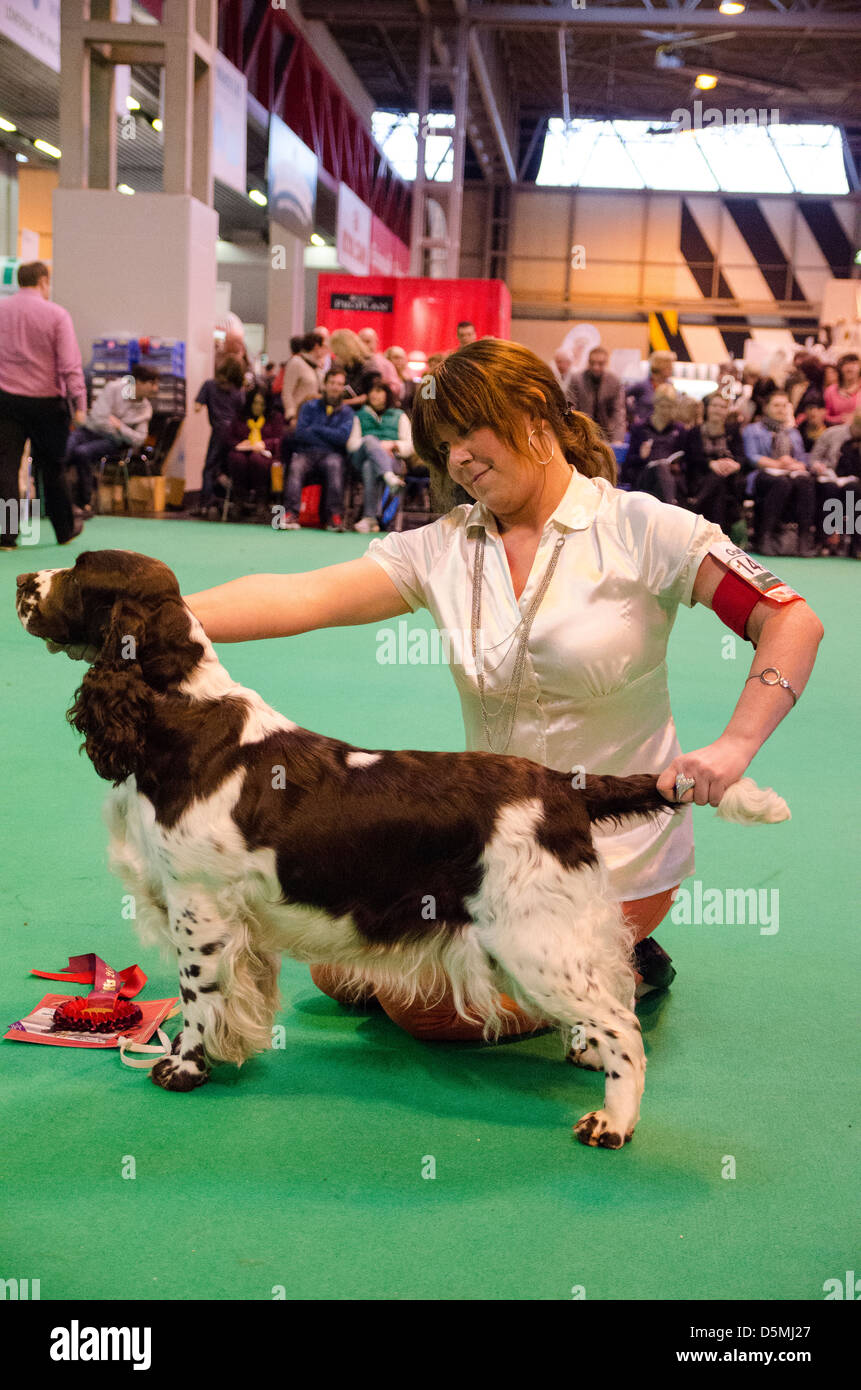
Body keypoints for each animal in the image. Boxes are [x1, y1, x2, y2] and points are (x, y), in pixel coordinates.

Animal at [13, 547, 790, 1145]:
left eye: (79, 570)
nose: (21, 580)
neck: (180, 716)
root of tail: (562, 786)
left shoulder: (199, 907)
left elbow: (199, 996)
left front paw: (184, 1068)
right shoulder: (239, 922)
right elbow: (241, 994)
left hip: (531, 939)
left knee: (624, 1026)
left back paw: (612, 1121)